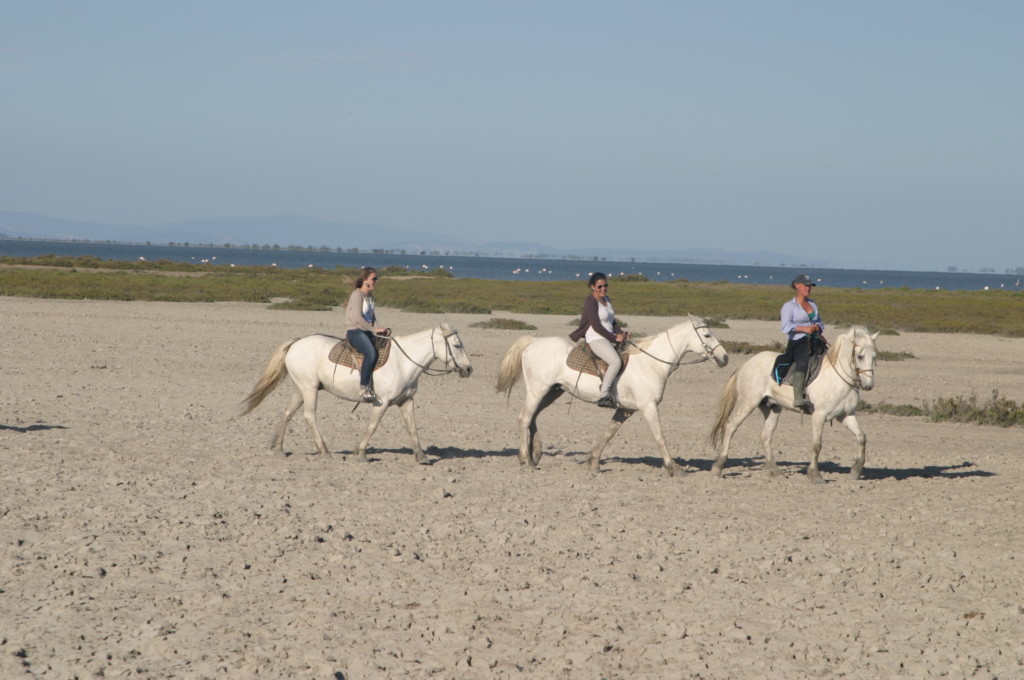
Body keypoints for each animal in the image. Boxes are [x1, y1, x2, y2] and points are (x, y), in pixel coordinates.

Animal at [241, 323, 473, 462]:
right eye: (457, 345)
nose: (469, 369)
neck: (403, 362)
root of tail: (296, 343)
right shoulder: (382, 403)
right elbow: (372, 426)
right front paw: (360, 452)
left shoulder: (406, 401)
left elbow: (412, 428)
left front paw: (421, 456)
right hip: (308, 389)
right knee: (309, 416)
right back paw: (324, 451)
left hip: (301, 389)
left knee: (287, 412)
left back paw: (279, 449)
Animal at [495, 315, 729, 475]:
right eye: (707, 335)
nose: (725, 357)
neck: (651, 363)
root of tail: (533, 342)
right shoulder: (649, 407)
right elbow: (659, 436)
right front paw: (674, 467)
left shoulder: (626, 410)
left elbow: (608, 434)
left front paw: (593, 462)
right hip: (538, 390)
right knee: (525, 418)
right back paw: (526, 460)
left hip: (553, 392)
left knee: (533, 417)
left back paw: (535, 454)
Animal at [712, 325, 880, 481]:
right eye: (860, 356)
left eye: (874, 356)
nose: (868, 386)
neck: (837, 379)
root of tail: (747, 363)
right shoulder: (819, 416)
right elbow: (817, 445)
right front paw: (815, 474)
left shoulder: (846, 415)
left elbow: (861, 437)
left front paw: (856, 470)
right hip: (748, 403)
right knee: (731, 426)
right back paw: (719, 466)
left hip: (772, 408)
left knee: (765, 436)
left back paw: (776, 471)